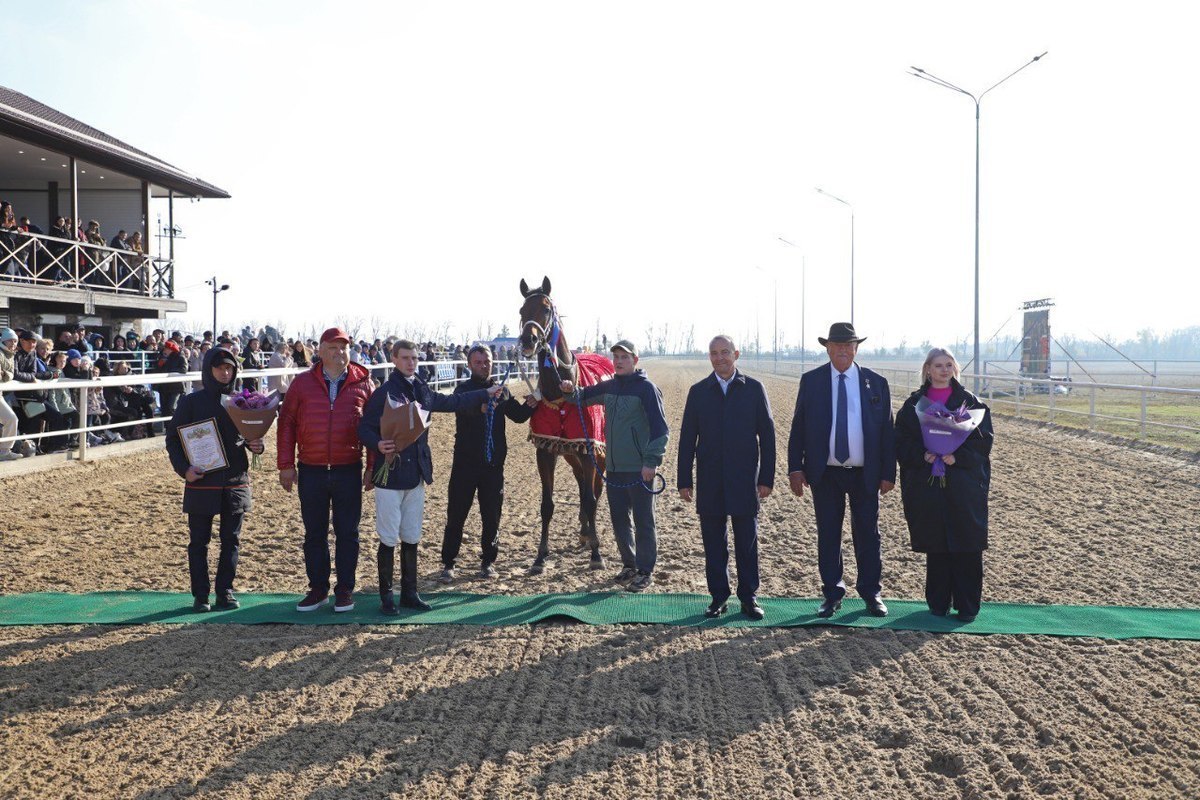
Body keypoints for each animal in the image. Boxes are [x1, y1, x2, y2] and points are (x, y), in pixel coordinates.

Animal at [516, 277, 614, 575]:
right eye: (522, 310)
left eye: (546, 308)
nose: (528, 339)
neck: (563, 390)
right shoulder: (547, 450)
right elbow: (547, 504)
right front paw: (540, 557)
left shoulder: (589, 448)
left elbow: (591, 499)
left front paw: (596, 553)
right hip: (571, 454)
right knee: (582, 483)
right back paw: (583, 531)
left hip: (598, 452)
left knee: (594, 490)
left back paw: (590, 535)